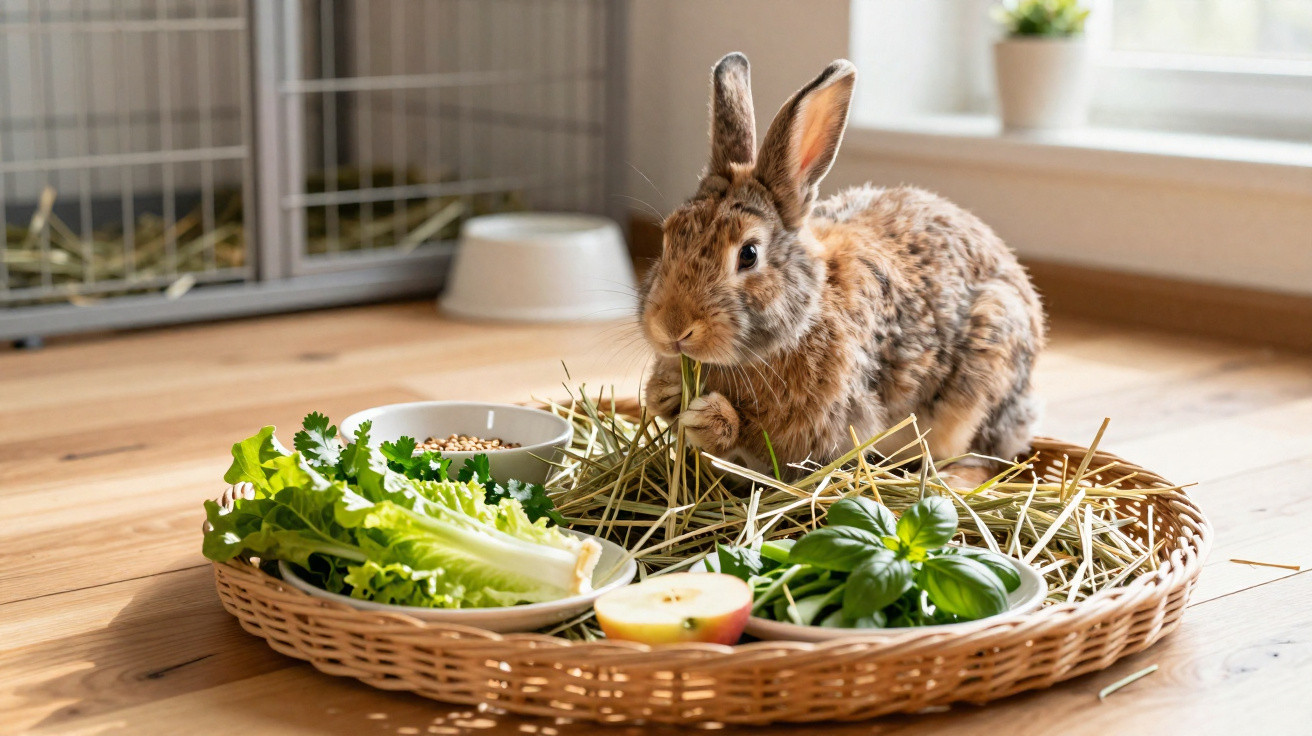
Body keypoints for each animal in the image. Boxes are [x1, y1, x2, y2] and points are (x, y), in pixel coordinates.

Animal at [638, 53, 1046, 478]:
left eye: (748, 254)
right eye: (668, 238)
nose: (672, 329)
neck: (805, 318)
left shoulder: (818, 430)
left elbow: (764, 441)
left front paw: (710, 418)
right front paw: (664, 391)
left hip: (987, 377)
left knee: (984, 454)